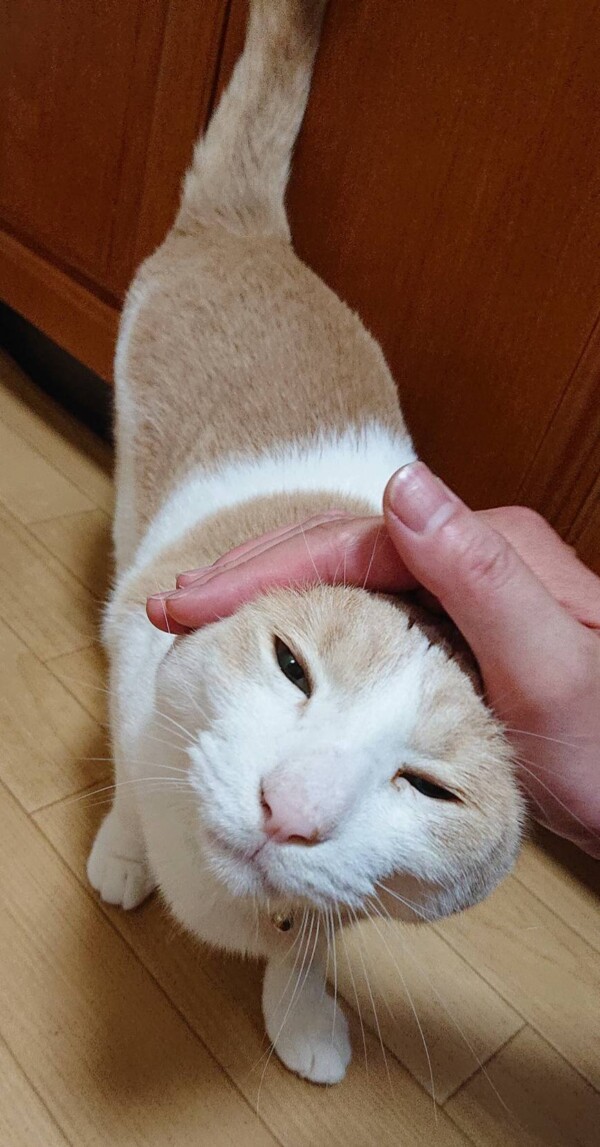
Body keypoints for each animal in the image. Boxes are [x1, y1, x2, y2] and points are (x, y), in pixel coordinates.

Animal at [88, 0, 524, 1085]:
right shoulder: (132, 646)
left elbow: (315, 943)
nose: (290, 809)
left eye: (430, 786)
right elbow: (127, 782)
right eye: (290, 666)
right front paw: (124, 851)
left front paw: (300, 1011)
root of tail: (252, 234)